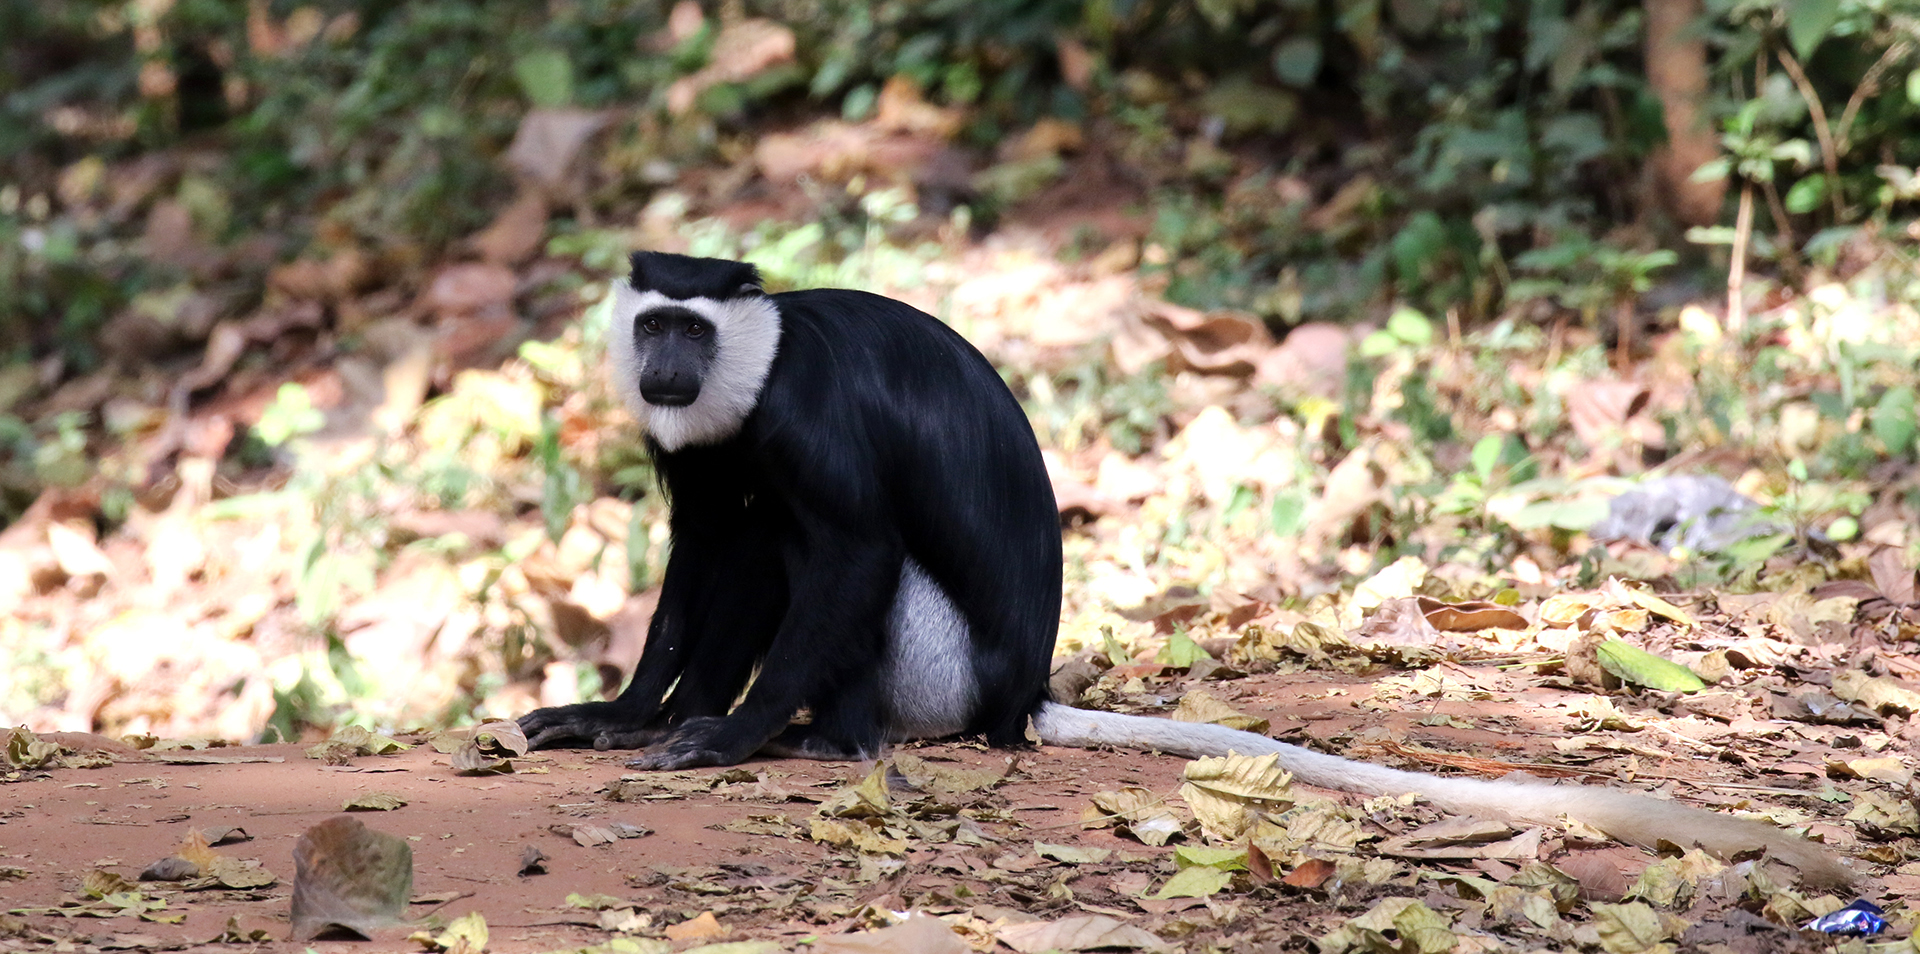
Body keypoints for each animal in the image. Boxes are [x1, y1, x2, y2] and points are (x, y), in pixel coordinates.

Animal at [518, 255, 1850, 886]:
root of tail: (1018, 699)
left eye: (691, 328)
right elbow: (705, 546)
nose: (670, 365)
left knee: (820, 558)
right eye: (655, 328)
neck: (752, 368)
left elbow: (844, 547)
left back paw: (822, 738)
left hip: (931, 669)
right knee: (750, 540)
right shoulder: (701, 438)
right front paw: (626, 717)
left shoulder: (796, 413)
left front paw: (731, 737)